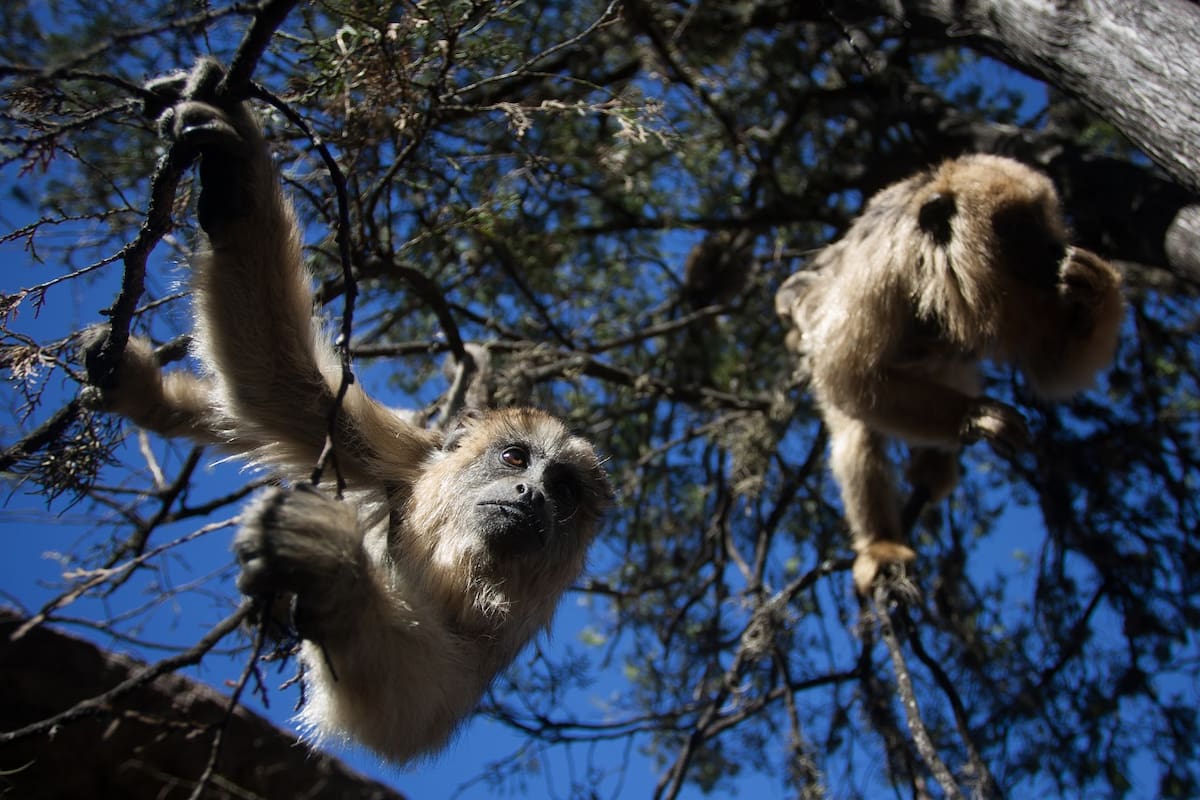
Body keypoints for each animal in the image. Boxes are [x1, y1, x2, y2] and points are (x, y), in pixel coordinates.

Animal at [82, 59, 611, 764]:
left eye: (565, 492)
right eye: (514, 456)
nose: (530, 493)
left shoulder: (510, 621)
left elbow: (416, 709)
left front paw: (331, 571)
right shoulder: (409, 466)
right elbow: (282, 387)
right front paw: (233, 169)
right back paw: (140, 387)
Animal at [774, 154, 1123, 593]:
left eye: (1044, 222)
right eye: (1019, 228)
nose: (1053, 249)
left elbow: (1050, 369)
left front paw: (1096, 288)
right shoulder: (879, 272)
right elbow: (848, 376)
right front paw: (974, 417)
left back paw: (934, 468)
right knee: (857, 433)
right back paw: (882, 545)